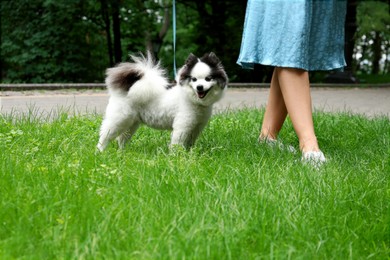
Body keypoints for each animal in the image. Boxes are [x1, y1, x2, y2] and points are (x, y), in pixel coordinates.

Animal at [95, 51, 227, 151]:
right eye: (194, 79)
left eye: (208, 79)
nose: (199, 87)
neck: (191, 99)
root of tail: (125, 90)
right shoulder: (182, 126)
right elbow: (177, 143)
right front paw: (176, 157)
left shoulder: (196, 127)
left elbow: (189, 143)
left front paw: (189, 153)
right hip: (119, 120)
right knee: (104, 136)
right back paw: (99, 152)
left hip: (131, 124)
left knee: (122, 138)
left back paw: (121, 153)